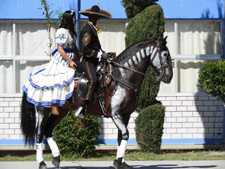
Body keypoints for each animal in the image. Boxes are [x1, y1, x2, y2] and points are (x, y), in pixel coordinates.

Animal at [20, 36, 172, 168]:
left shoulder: (126, 115)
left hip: (61, 111)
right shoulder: (116, 114)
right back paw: (41, 163)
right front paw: (118, 162)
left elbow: (120, 137)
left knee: (48, 130)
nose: (169, 77)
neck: (122, 77)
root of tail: (36, 74)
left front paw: (121, 162)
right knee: (39, 133)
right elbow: (125, 134)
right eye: (165, 54)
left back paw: (56, 159)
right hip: (42, 110)